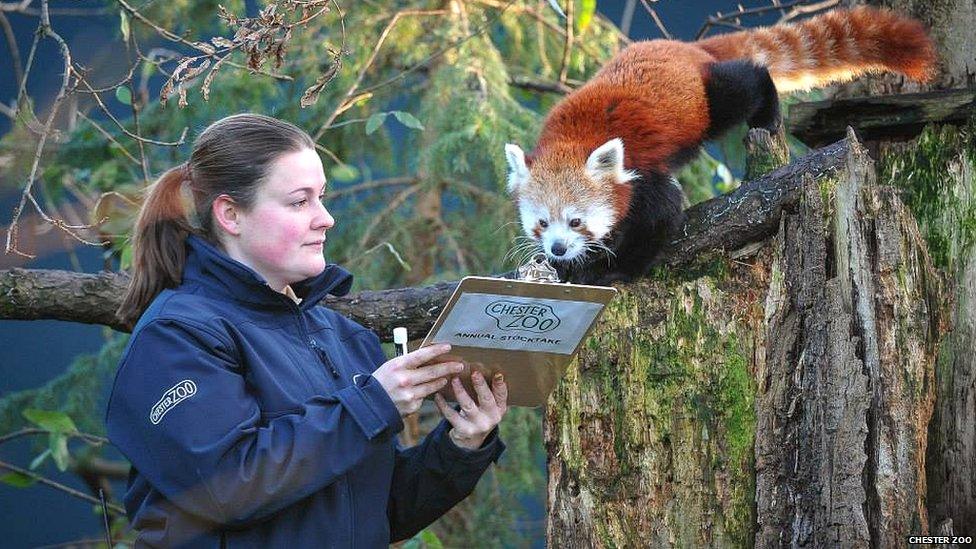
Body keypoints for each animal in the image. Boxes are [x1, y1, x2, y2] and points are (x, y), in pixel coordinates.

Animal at [504, 6, 936, 284]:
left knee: (745, 82)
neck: (572, 140)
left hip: (707, 99)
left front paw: (615, 270)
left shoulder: (642, 171)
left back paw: (765, 109)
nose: (558, 249)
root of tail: (686, 47)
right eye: (542, 223)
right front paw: (567, 265)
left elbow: (661, 216)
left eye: (576, 220)